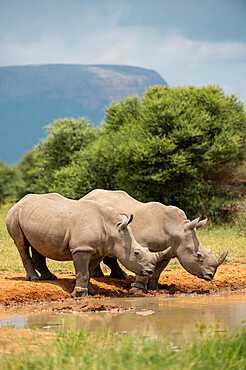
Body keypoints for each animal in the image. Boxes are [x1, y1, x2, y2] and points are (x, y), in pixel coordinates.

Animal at [6, 192, 170, 296]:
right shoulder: (81, 248)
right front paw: (79, 295)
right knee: (21, 244)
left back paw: (50, 278)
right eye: (137, 253)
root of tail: (19, 201)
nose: (150, 271)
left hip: (37, 218)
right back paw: (34, 279)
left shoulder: (98, 250)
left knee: (37, 245)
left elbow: (89, 272)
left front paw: (91, 291)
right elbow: (83, 271)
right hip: (14, 214)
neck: (113, 228)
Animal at [81, 191, 228, 292]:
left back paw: (120, 276)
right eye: (199, 255)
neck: (177, 229)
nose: (211, 275)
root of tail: (86, 196)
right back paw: (100, 275)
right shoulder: (142, 244)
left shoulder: (169, 251)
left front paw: (154, 289)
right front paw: (138, 289)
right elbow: (143, 264)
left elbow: (158, 271)